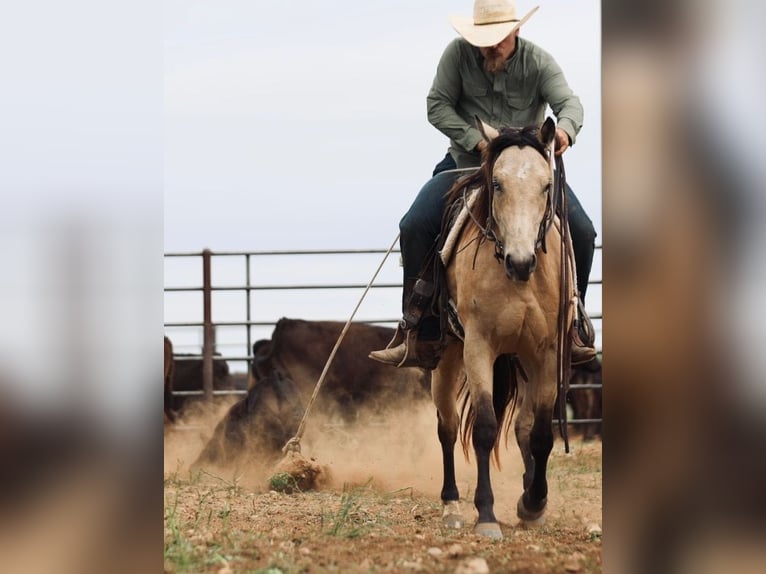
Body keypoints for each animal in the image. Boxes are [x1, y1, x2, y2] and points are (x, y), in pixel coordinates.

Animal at [433, 117, 577, 539]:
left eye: (546, 186)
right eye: (497, 184)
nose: (520, 261)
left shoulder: (548, 353)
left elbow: (541, 434)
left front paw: (533, 502)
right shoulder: (478, 346)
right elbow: (484, 427)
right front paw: (486, 514)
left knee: (524, 427)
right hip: (446, 357)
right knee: (447, 426)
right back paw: (451, 506)